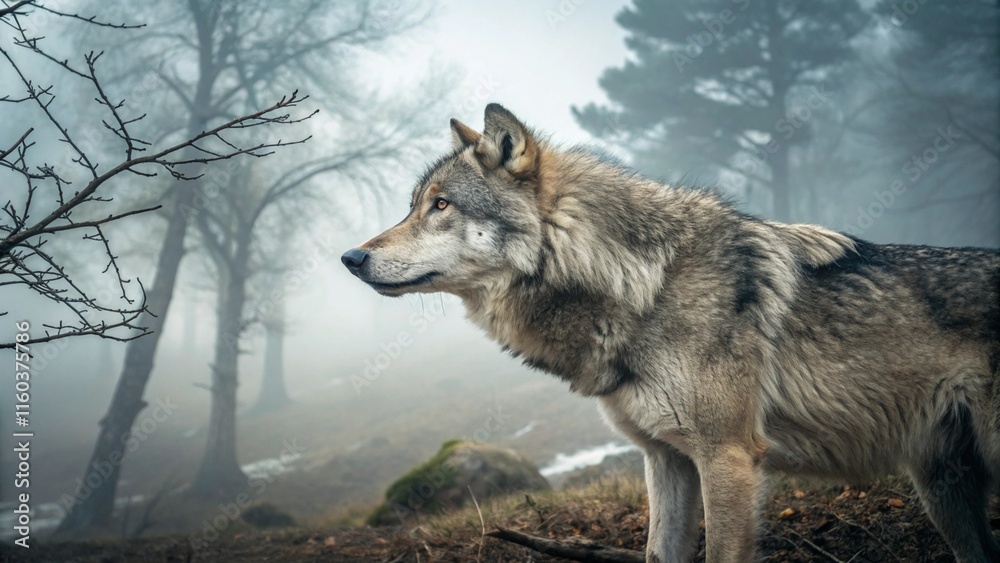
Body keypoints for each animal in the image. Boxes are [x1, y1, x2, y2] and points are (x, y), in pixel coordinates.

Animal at [342, 104, 1000, 562]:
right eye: (413, 205)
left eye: (441, 205)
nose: (351, 258)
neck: (642, 284)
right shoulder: (664, 459)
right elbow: (661, 550)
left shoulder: (728, 457)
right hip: (943, 491)